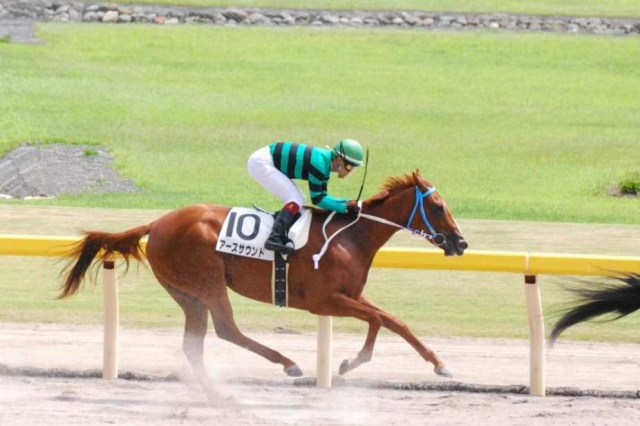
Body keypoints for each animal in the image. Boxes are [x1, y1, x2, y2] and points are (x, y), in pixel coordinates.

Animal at [58, 170, 467, 396]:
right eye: (437, 207)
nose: (461, 243)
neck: (351, 236)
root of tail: (157, 223)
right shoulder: (323, 300)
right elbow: (378, 320)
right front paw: (351, 363)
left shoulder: (351, 294)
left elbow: (395, 320)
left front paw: (440, 364)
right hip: (207, 281)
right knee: (226, 329)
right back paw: (287, 363)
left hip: (186, 292)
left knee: (196, 341)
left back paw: (212, 387)